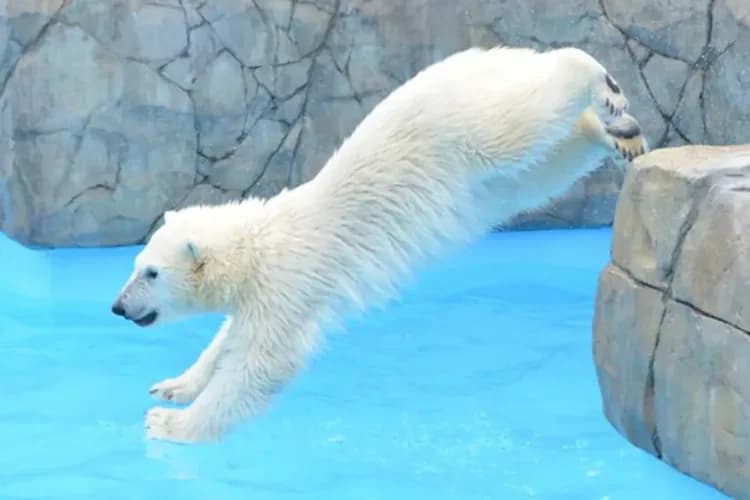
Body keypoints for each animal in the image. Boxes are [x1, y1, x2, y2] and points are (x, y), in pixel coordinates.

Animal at [111, 45, 648, 443]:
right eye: (136, 264)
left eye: (150, 273)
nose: (117, 306)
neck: (259, 240)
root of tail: (486, 56)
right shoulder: (266, 292)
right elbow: (226, 342)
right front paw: (173, 387)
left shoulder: (289, 282)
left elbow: (262, 364)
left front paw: (169, 425)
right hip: (494, 179)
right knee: (549, 161)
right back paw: (619, 134)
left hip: (463, 128)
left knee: (521, 121)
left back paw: (601, 83)